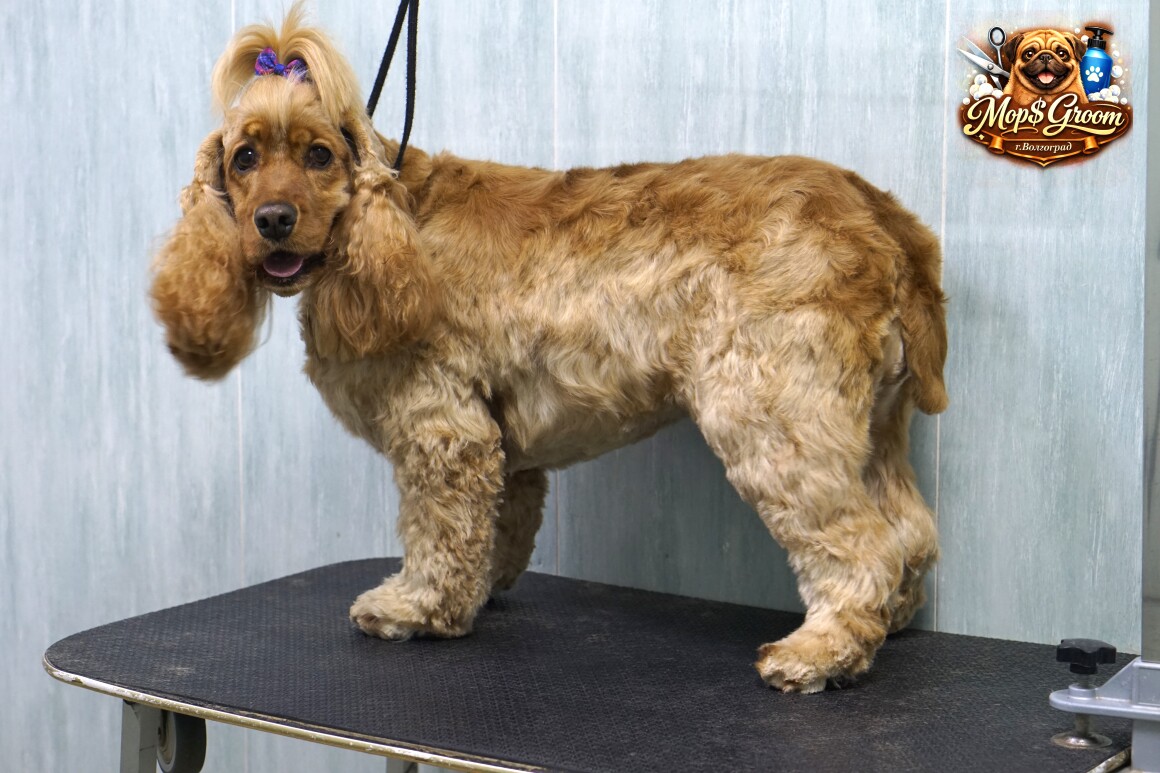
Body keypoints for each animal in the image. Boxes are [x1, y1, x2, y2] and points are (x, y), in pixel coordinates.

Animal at [150, 5, 948, 694]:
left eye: (319, 155)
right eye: (245, 157)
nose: (272, 220)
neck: (388, 226)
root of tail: (883, 216)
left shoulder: (444, 429)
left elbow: (437, 530)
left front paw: (415, 606)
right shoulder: (504, 444)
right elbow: (494, 528)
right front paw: (469, 597)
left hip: (773, 414)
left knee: (864, 543)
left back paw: (821, 652)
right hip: (870, 422)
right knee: (911, 534)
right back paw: (885, 626)